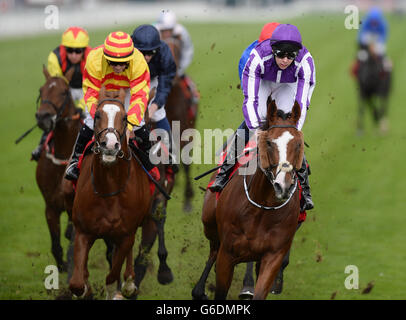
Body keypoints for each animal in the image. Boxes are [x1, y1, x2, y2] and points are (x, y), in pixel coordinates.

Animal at [69, 87, 153, 300]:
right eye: (98, 115)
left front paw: (118, 290)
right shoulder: (83, 231)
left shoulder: (125, 234)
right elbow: (76, 283)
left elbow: (112, 275)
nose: (109, 144)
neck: (109, 190)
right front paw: (85, 288)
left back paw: (129, 282)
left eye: (124, 118)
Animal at [193, 100, 304, 300]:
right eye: (269, 143)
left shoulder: (273, 256)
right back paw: (199, 289)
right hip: (209, 222)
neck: (262, 207)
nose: (283, 186)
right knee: (213, 250)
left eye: (298, 144)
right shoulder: (227, 253)